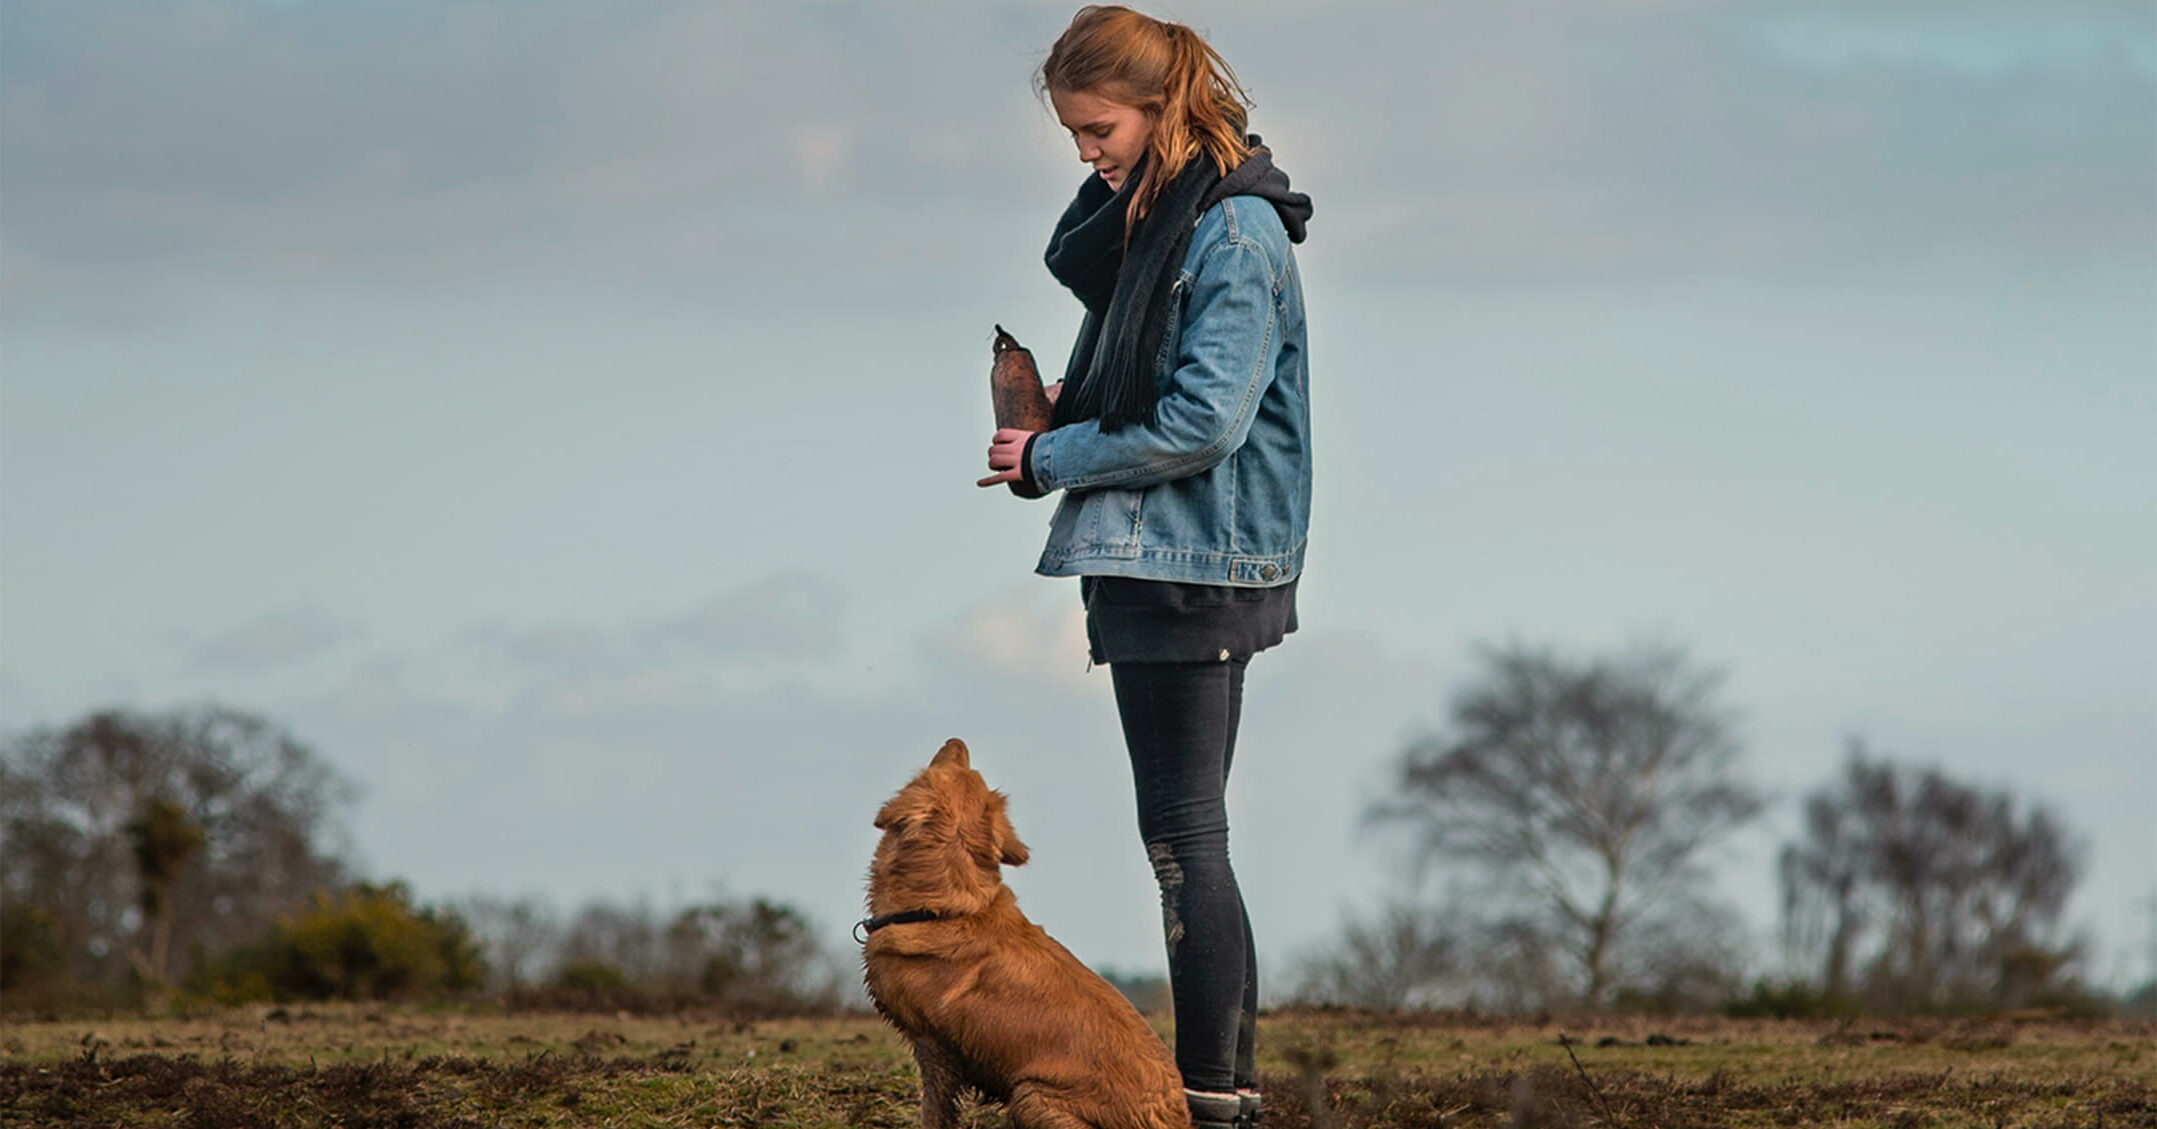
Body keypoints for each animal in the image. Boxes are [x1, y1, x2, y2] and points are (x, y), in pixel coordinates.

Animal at [862, 742, 1199, 1129]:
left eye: (947, 768)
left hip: (1029, 1095)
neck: (943, 908)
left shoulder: (933, 1044)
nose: (957, 741)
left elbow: (934, 1110)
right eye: (969, 771)